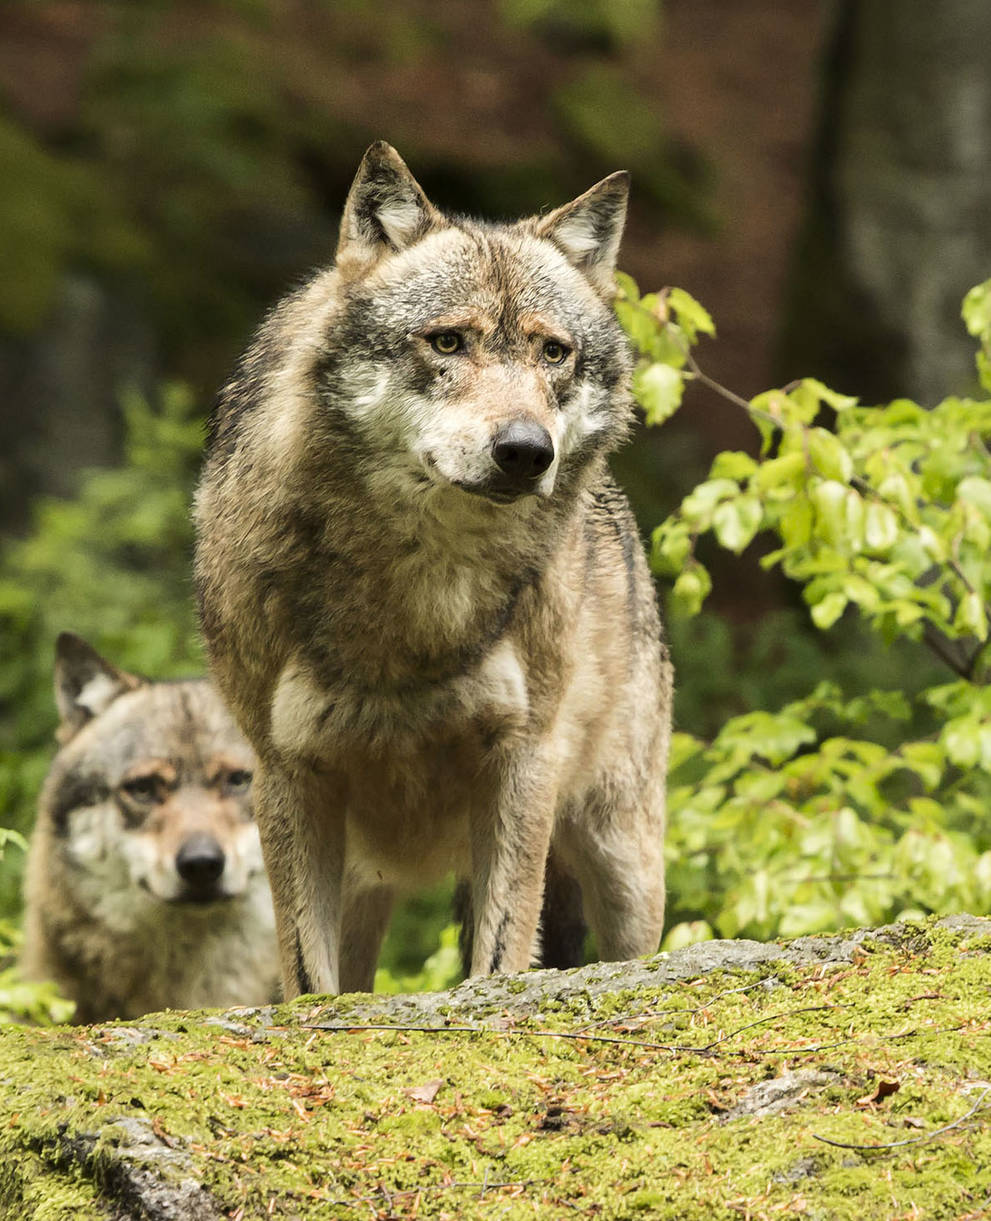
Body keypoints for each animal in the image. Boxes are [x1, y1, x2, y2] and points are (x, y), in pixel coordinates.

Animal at [194, 142, 673, 1001]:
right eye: (448, 342)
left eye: (552, 352)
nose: (525, 450)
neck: (418, 595)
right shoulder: (286, 773)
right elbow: (307, 976)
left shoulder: (523, 759)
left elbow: (501, 949)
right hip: (364, 879)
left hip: (620, 855)